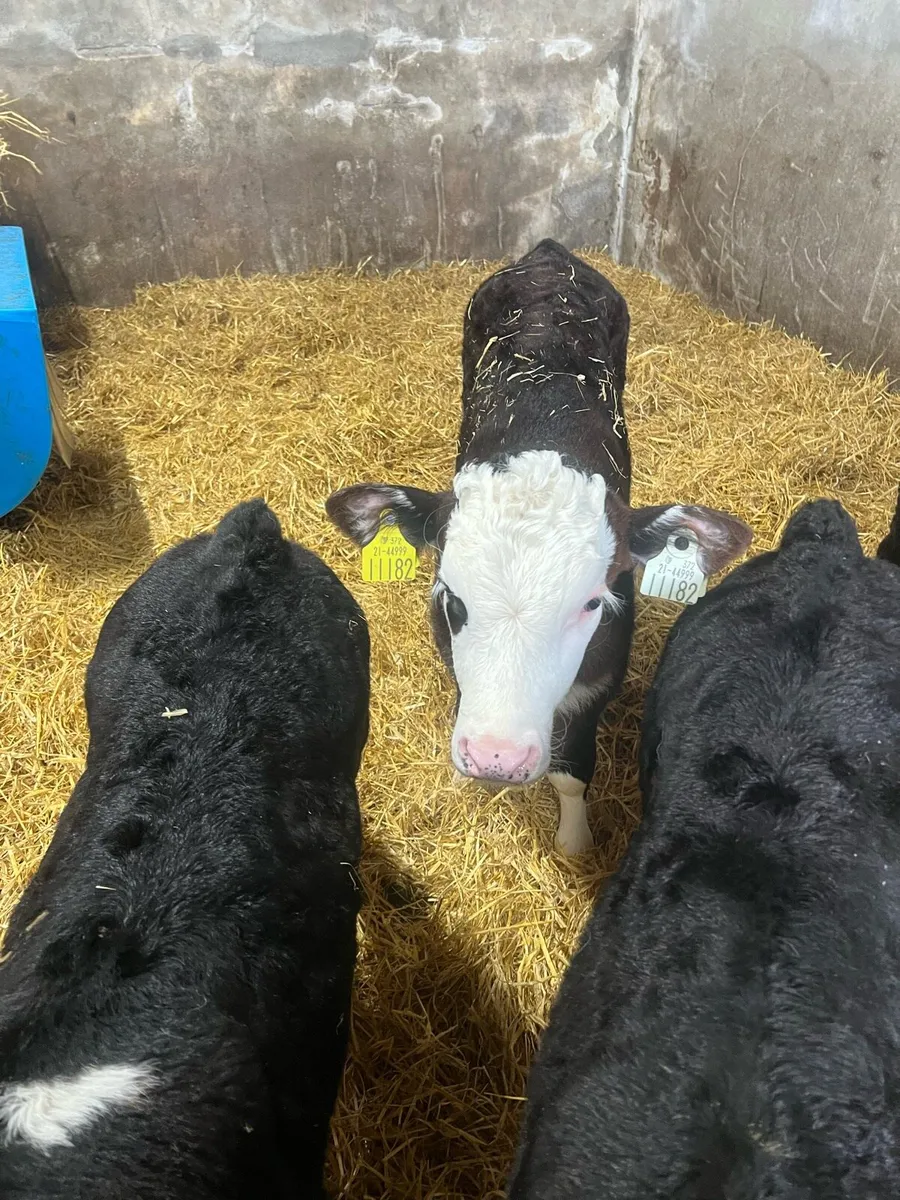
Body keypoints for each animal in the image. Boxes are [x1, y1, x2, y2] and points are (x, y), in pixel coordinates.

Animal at [327, 239, 751, 854]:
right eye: (451, 599)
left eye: (593, 602)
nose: (496, 758)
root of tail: (551, 253)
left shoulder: (598, 682)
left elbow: (571, 771)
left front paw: (573, 842)